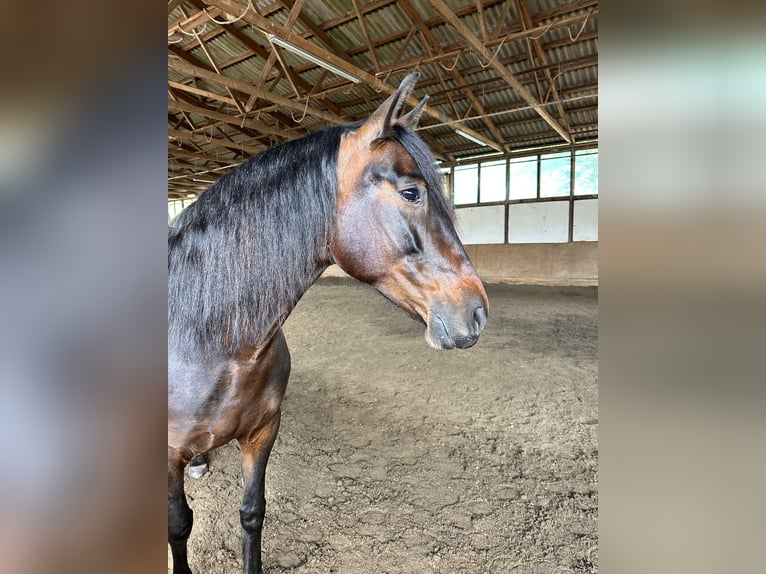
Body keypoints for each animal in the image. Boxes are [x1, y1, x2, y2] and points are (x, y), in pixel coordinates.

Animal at [170, 73, 492, 574]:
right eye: (411, 192)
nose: (477, 311)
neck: (216, 343)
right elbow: (179, 525)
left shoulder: (263, 432)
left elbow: (251, 513)